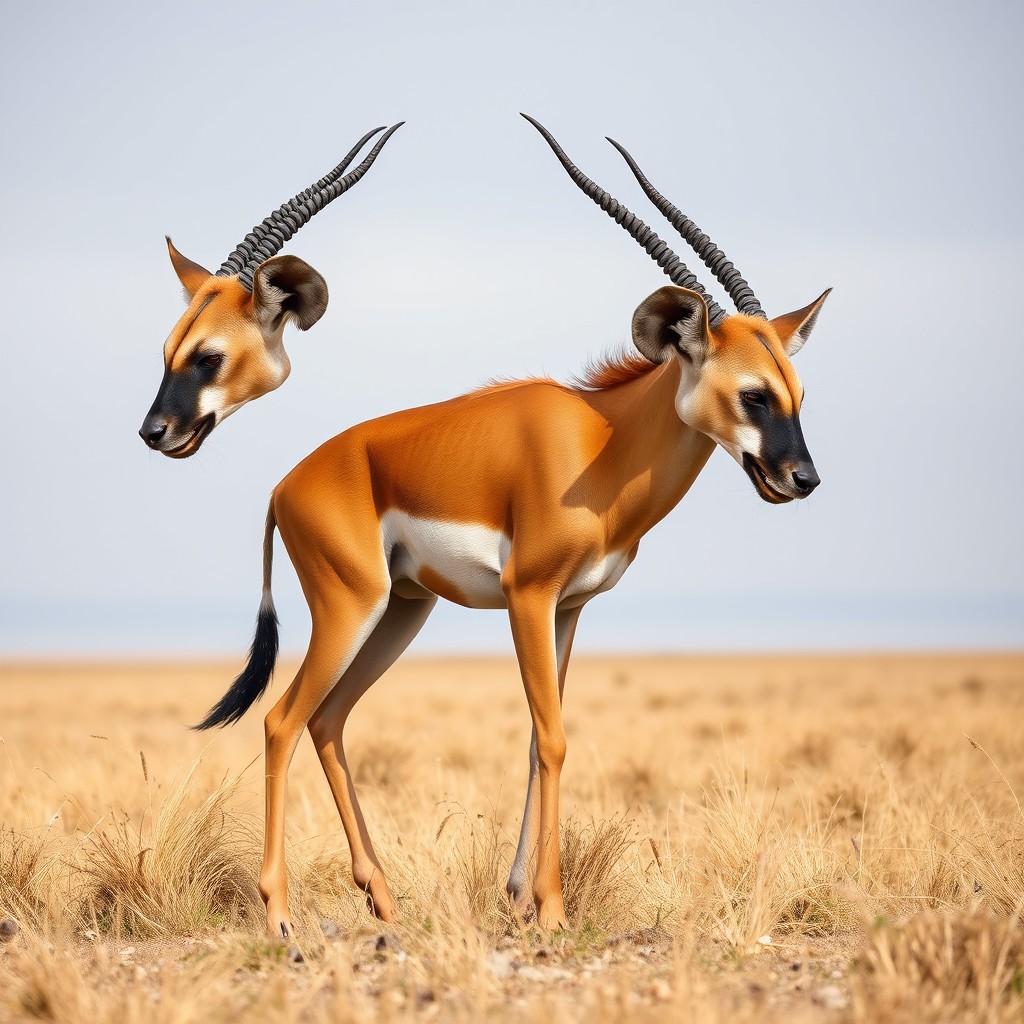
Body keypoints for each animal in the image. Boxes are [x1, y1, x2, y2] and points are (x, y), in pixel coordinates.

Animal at [196, 115, 830, 936]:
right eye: (753, 393)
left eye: (796, 391)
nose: (802, 479)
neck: (600, 442)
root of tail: (283, 486)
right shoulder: (528, 597)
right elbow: (554, 738)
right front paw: (552, 909)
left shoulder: (568, 607)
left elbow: (537, 738)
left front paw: (522, 898)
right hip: (350, 607)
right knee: (280, 720)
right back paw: (278, 915)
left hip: (401, 611)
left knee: (327, 720)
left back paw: (384, 899)